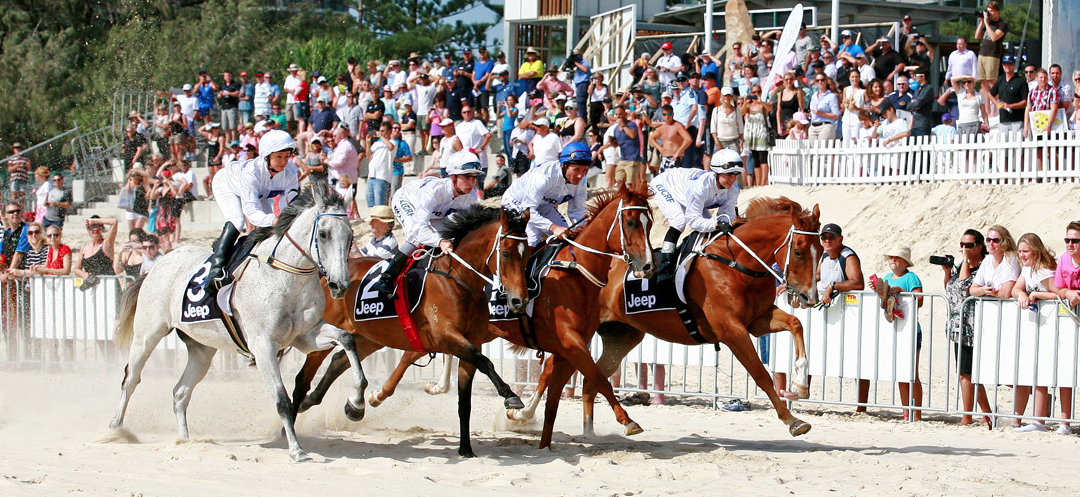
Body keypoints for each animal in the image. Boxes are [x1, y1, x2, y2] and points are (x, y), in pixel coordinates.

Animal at [112, 181, 360, 462]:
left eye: (350, 236)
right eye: (324, 234)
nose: (339, 285)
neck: (286, 278)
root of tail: (157, 265)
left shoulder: (305, 336)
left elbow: (346, 339)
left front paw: (356, 404)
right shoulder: (263, 346)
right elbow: (282, 400)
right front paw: (297, 451)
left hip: (202, 350)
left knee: (180, 392)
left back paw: (185, 441)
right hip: (147, 334)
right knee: (131, 379)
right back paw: (115, 431)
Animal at [289, 205, 533, 458]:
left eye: (527, 253)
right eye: (506, 254)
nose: (519, 300)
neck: (458, 279)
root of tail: (326, 277)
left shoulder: (469, 341)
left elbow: (465, 400)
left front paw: (465, 448)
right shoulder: (446, 337)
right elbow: (485, 361)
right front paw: (511, 396)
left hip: (369, 337)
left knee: (338, 361)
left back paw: (340, 406)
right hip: (321, 335)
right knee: (302, 379)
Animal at [509, 197, 820, 438]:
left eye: (820, 252)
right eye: (800, 251)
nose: (810, 297)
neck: (735, 262)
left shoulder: (758, 321)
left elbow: (796, 324)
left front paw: (800, 384)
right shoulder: (732, 330)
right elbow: (761, 375)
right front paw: (793, 421)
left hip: (621, 336)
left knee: (590, 379)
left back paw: (591, 432)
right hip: (576, 331)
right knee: (554, 368)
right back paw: (522, 414)